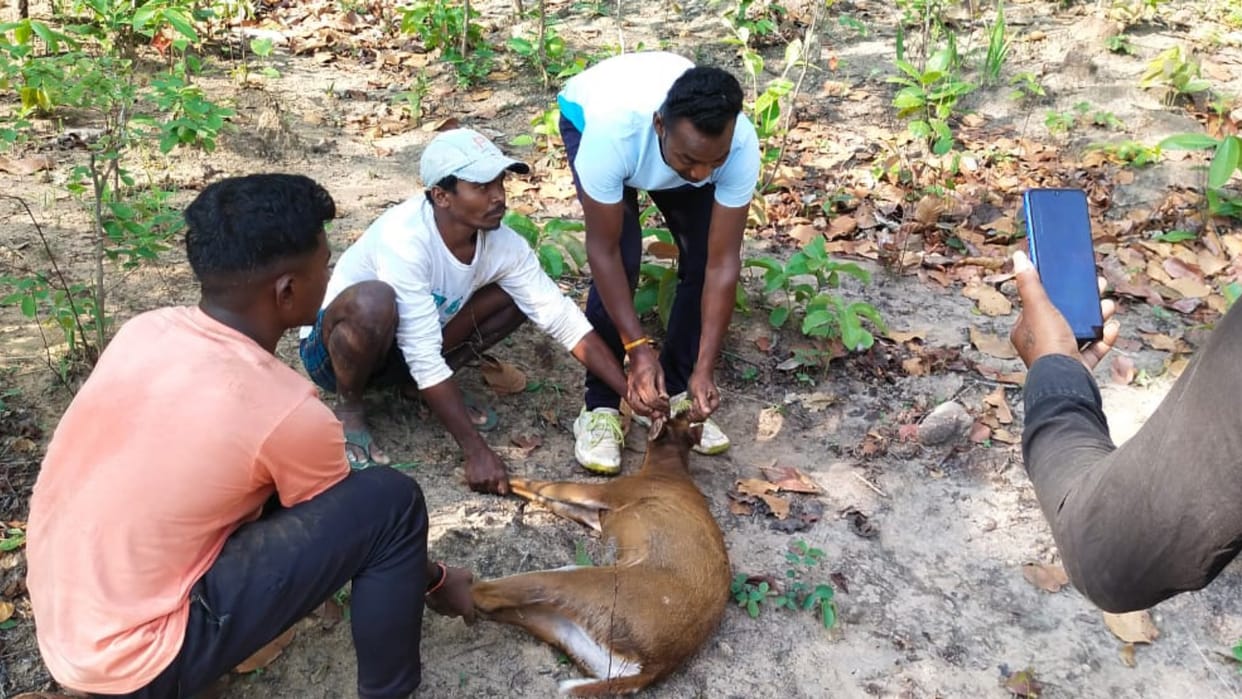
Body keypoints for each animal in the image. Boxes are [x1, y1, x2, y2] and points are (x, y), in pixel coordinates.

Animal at [470, 413, 732, 696]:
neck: (670, 468)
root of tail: (655, 666)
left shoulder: (605, 492)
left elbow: (542, 484)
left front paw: (488, 477)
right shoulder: (595, 514)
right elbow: (547, 497)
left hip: (586, 585)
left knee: (483, 595)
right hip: (576, 633)